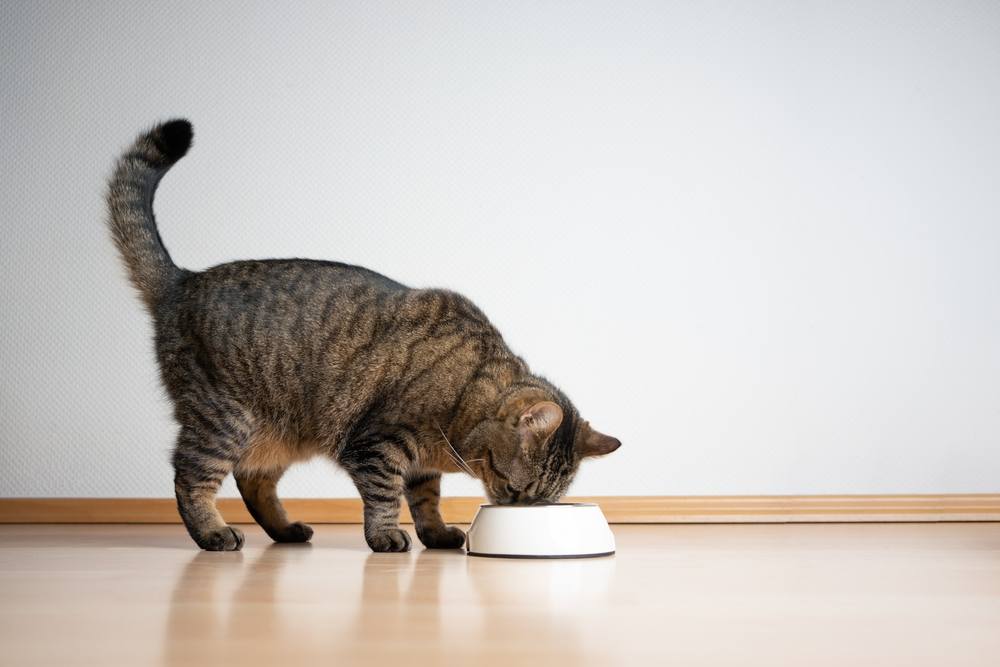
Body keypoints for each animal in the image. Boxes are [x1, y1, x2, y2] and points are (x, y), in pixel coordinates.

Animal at [103, 120, 616, 552]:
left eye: (534, 500)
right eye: (514, 489)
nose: (514, 511)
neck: (464, 393)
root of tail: (182, 280)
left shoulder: (422, 465)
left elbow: (426, 501)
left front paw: (436, 534)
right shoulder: (378, 444)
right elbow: (387, 495)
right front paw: (386, 537)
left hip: (277, 432)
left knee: (253, 480)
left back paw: (286, 530)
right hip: (224, 418)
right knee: (190, 477)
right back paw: (212, 532)